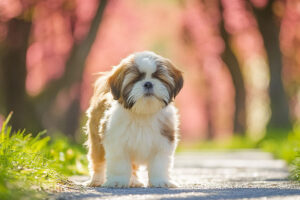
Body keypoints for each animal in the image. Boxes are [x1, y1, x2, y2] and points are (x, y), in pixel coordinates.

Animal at [84, 51, 183, 188]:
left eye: (158, 77)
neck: (143, 113)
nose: (148, 83)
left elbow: (159, 164)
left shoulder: (163, 142)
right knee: (98, 160)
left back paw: (134, 181)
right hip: (96, 140)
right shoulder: (117, 143)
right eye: (135, 79)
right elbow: (120, 164)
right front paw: (118, 181)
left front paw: (160, 181)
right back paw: (96, 180)